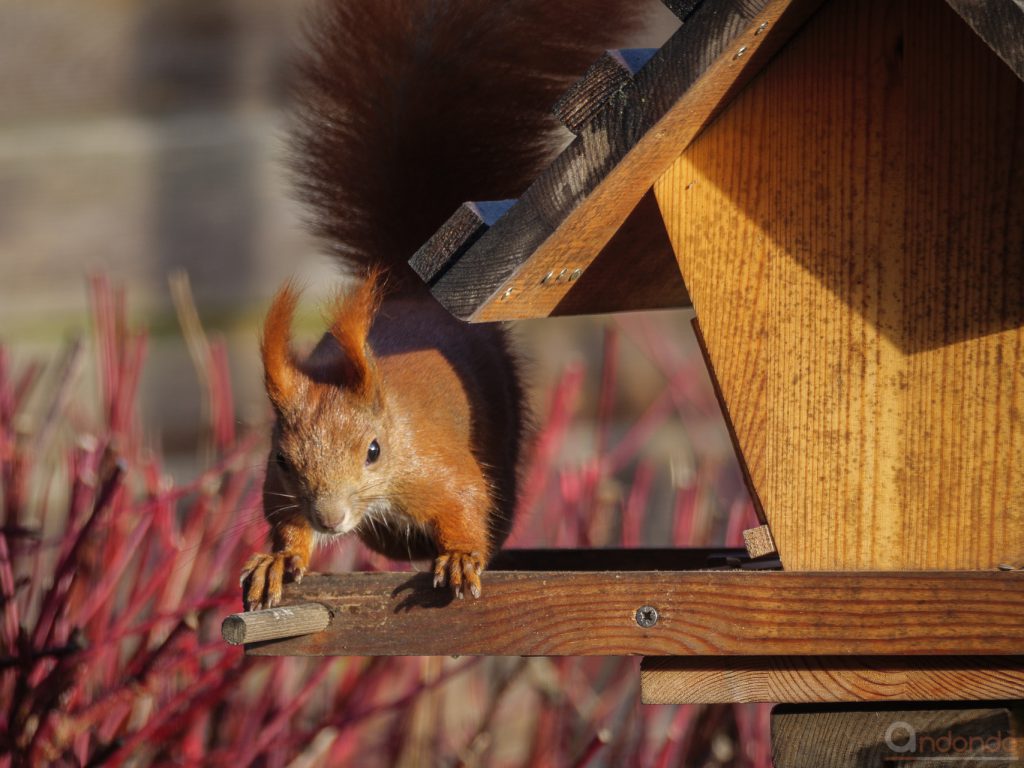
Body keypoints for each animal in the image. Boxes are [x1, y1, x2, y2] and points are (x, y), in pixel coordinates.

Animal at [241, 1, 638, 614]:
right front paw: (281, 559)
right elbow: (286, 522)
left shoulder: (439, 467)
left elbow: (466, 502)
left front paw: (459, 557)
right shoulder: (281, 490)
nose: (330, 518)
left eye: (374, 451)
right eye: (282, 459)